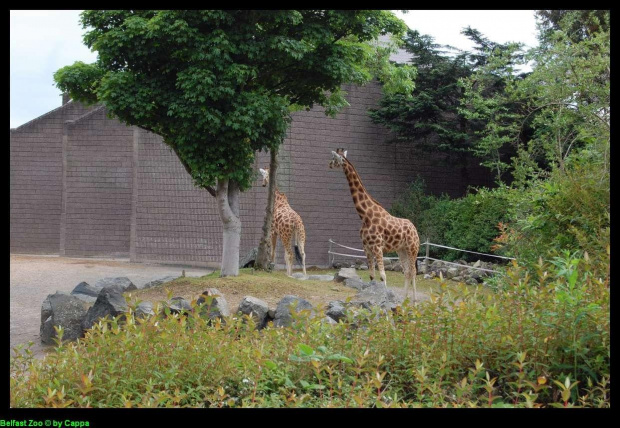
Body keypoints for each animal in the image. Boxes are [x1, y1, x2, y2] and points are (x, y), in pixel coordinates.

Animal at [330, 149, 422, 302]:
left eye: (334, 159)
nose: (329, 165)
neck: (365, 215)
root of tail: (415, 229)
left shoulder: (377, 247)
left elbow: (383, 276)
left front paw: (385, 298)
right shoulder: (366, 247)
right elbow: (372, 275)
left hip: (412, 249)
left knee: (413, 272)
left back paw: (414, 301)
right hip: (401, 250)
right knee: (407, 272)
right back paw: (404, 299)